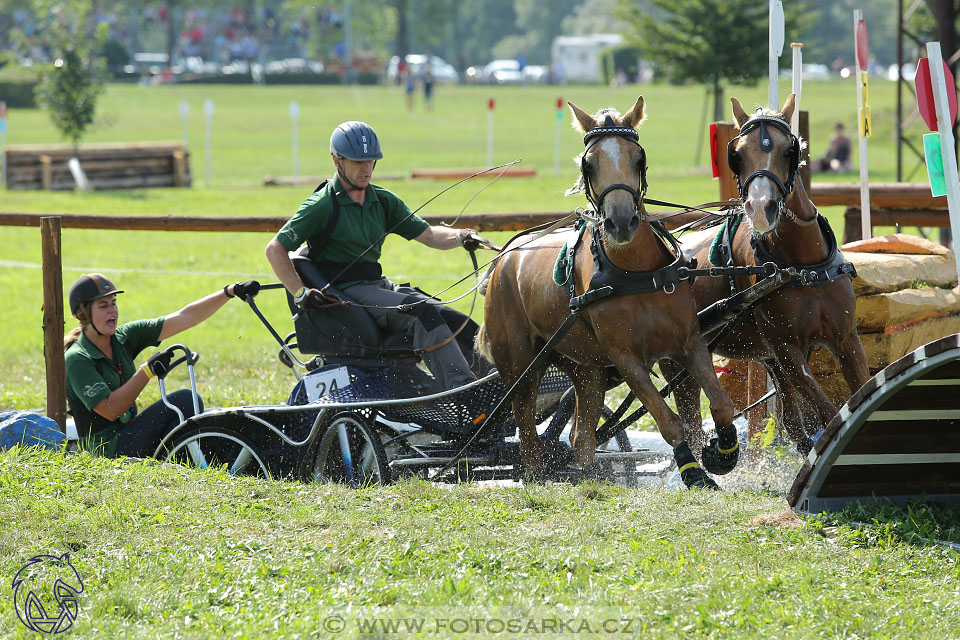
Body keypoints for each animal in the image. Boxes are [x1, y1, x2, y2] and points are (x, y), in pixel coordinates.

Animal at [478, 95, 736, 488]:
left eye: (638, 158)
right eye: (589, 163)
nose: (620, 222)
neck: (637, 273)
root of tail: (505, 259)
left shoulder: (688, 342)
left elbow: (721, 404)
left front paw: (722, 453)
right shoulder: (627, 357)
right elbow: (668, 420)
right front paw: (692, 472)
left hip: (587, 369)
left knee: (580, 436)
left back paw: (589, 476)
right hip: (521, 367)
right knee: (527, 432)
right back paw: (537, 476)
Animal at [664, 94, 872, 456]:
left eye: (790, 150)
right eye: (736, 155)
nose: (761, 209)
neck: (802, 265)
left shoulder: (846, 338)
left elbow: (862, 390)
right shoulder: (787, 349)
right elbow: (829, 411)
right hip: (678, 361)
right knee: (688, 419)